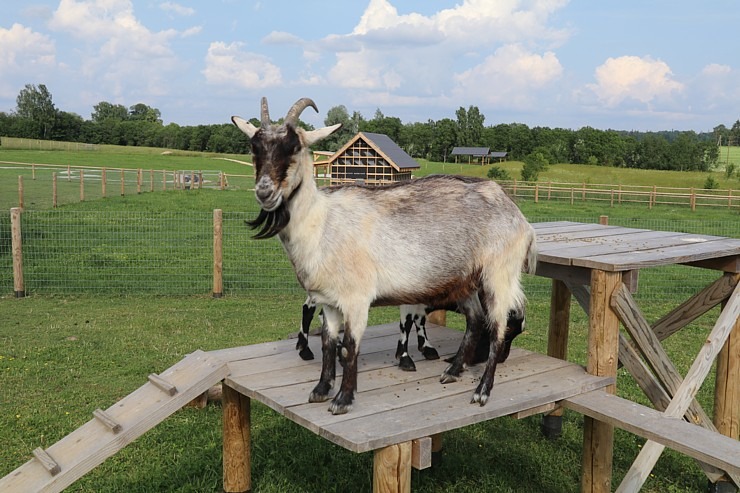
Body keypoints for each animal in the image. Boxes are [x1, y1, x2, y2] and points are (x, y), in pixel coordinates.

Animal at [230, 96, 532, 412]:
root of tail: (518, 216)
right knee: (474, 321)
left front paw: (343, 399)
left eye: (294, 147)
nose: (265, 192)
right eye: (254, 147)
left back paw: (481, 391)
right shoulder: (328, 302)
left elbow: (350, 347)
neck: (322, 224)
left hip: (499, 275)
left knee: (496, 328)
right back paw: (452, 371)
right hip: (467, 281)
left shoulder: (357, 299)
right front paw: (321, 389)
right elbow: (327, 344)